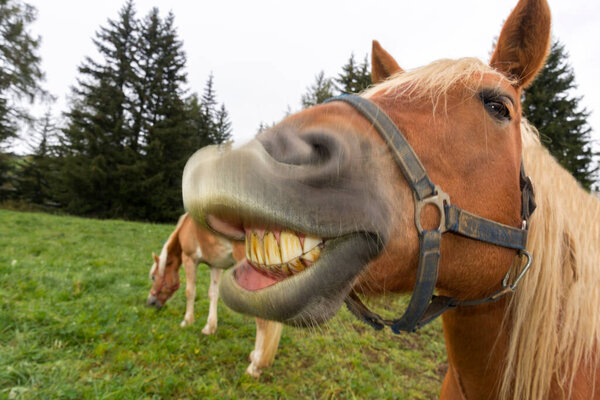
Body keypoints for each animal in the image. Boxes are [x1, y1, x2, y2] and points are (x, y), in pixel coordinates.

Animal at [148, 214, 284, 376]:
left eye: (153, 277)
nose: (150, 302)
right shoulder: (215, 265)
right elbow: (213, 294)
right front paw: (209, 327)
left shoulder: (190, 259)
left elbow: (190, 292)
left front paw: (187, 321)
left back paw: (255, 366)